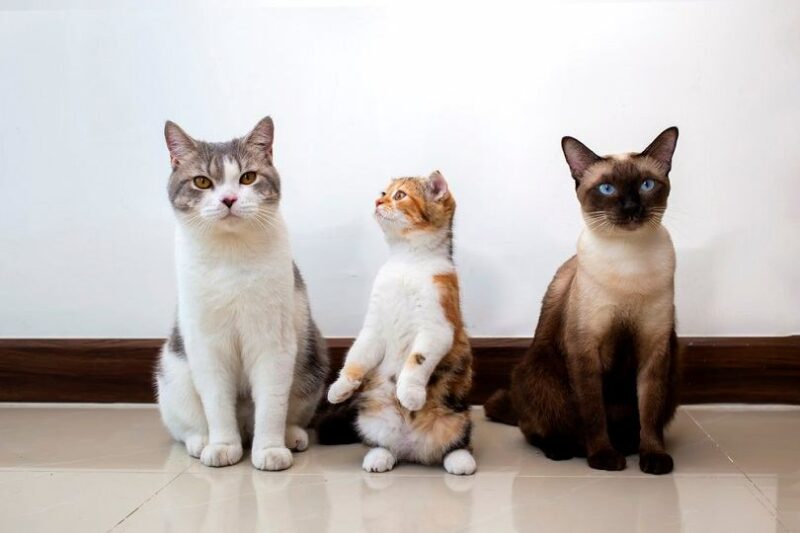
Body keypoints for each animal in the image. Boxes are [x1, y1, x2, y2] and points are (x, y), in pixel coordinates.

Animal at [155, 115, 326, 470]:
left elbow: (272, 406)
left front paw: (270, 450)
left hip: (311, 364)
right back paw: (201, 441)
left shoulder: (273, 342)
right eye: (202, 182)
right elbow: (217, 404)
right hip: (172, 374)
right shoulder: (206, 345)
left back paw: (292, 437)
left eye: (247, 177)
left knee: (288, 413)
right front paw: (222, 446)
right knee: (186, 425)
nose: (229, 199)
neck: (230, 256)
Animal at [324, 172, 476, 476]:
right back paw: (379, 456)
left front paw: (410, 393)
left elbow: (417, 359)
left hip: (458, 416)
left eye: (400, 195)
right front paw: (340, 387)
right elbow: (358, 355)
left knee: (456, 442)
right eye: (383, 192)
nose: (377, 201)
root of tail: (413, 449)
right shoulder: (374, 327)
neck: (407, 262)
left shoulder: (438, 325)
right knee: (381, 443)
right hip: (369, 418)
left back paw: (460, 460)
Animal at [484, 125, 680, 474]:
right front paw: (603, 458)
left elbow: (650, 414)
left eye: (646, 185)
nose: (631, 208)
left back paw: (628, 446)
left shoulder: (654, 348)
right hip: (537, 375)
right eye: (606, 188)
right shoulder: (585, 348)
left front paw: (653, 459)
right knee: (536, 429)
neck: (628, 262)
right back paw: (565, 449)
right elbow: (593, 413)